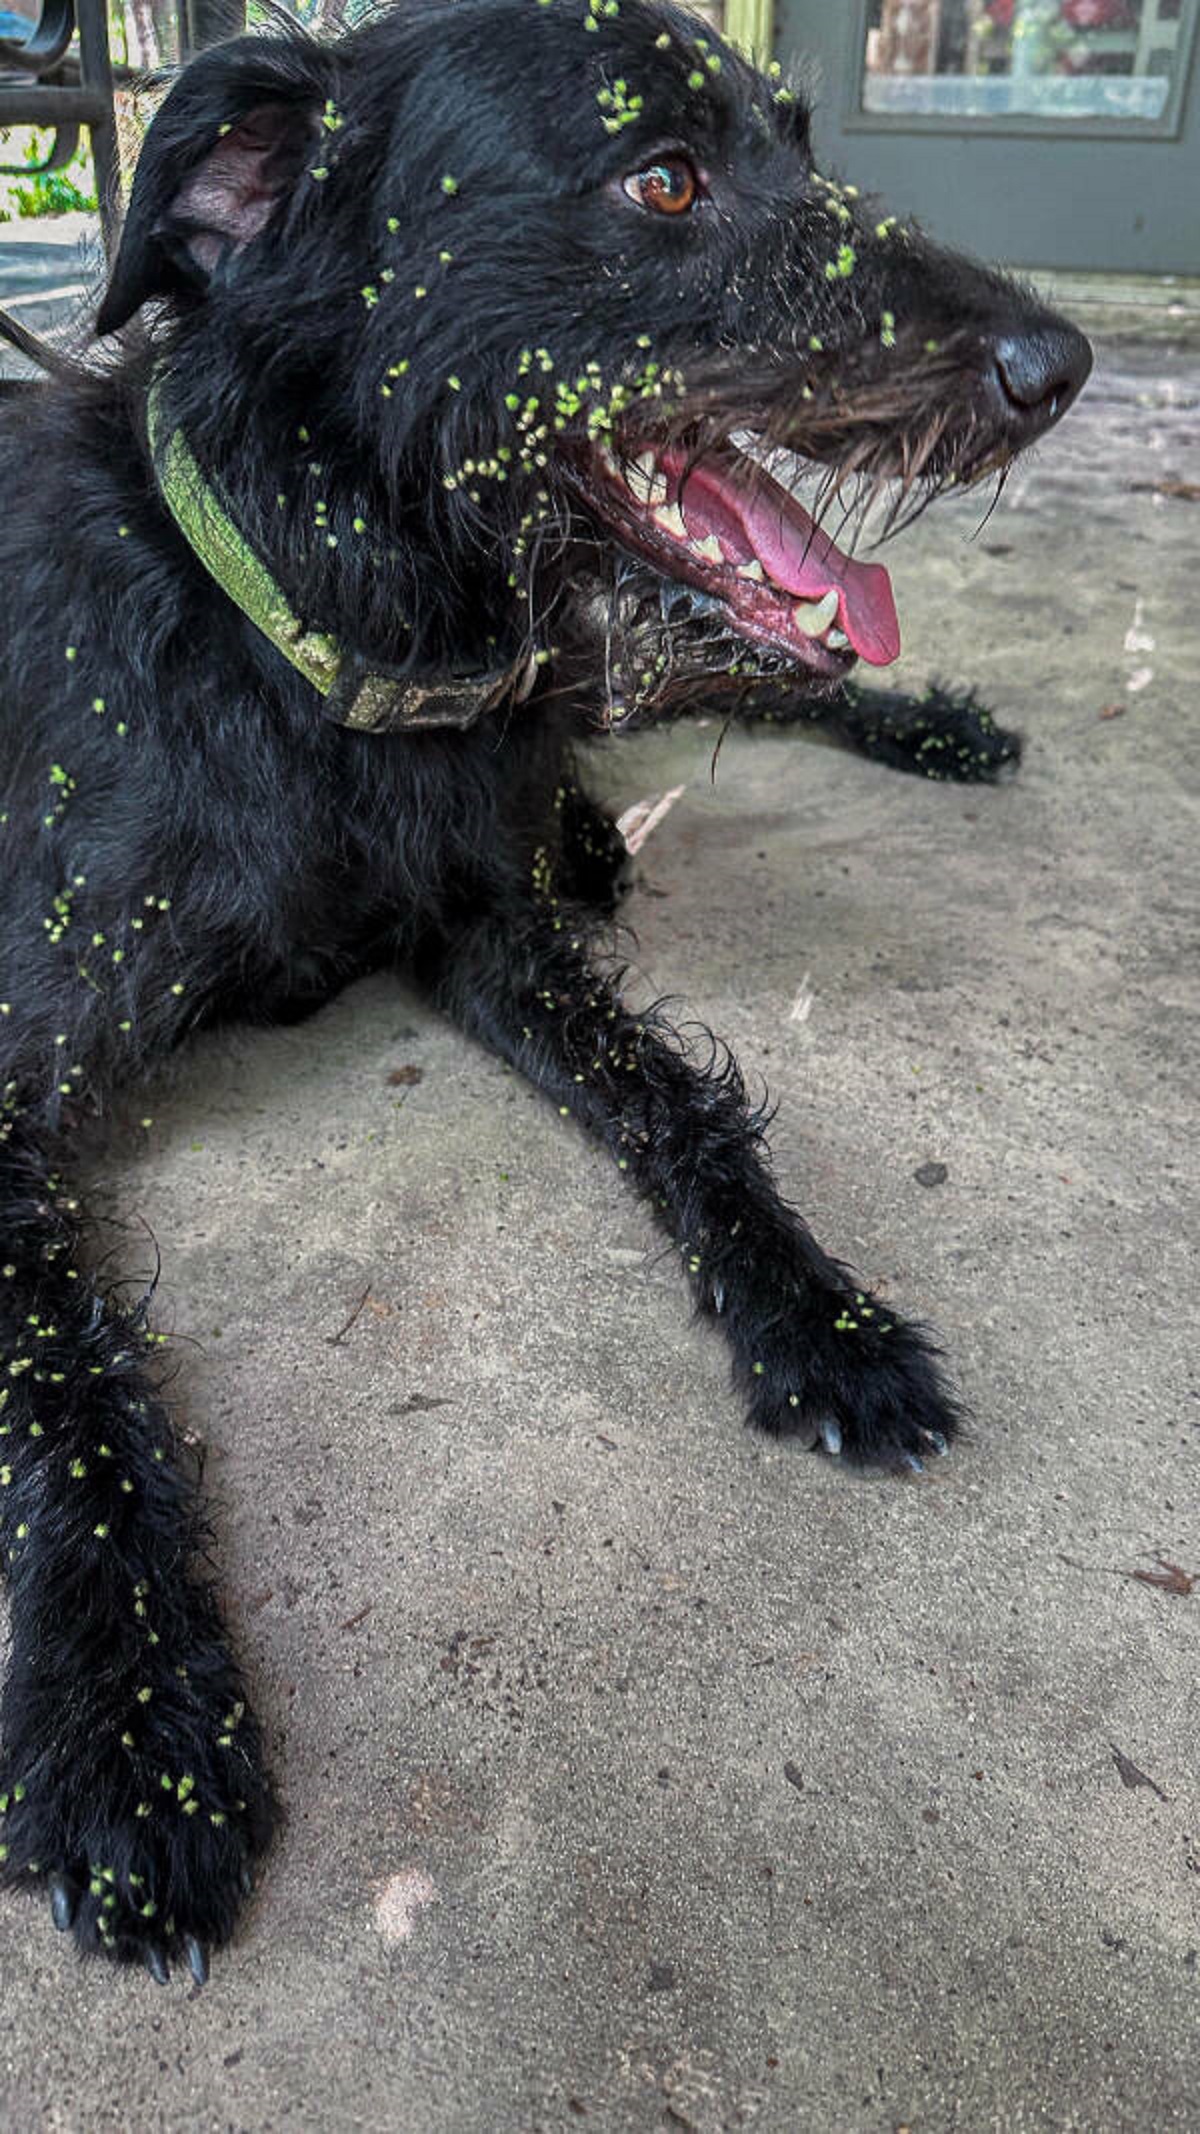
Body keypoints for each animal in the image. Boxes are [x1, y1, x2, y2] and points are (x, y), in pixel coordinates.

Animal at [0, 0, 1084, 1980]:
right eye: (660, 179)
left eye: (801, 138)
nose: (1068, 359)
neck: (315, 640)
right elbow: (71, 1381)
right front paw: (136, 1726)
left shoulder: (482, 926)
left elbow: (677, 1094)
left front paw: (817, 1307)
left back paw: (907, 730)